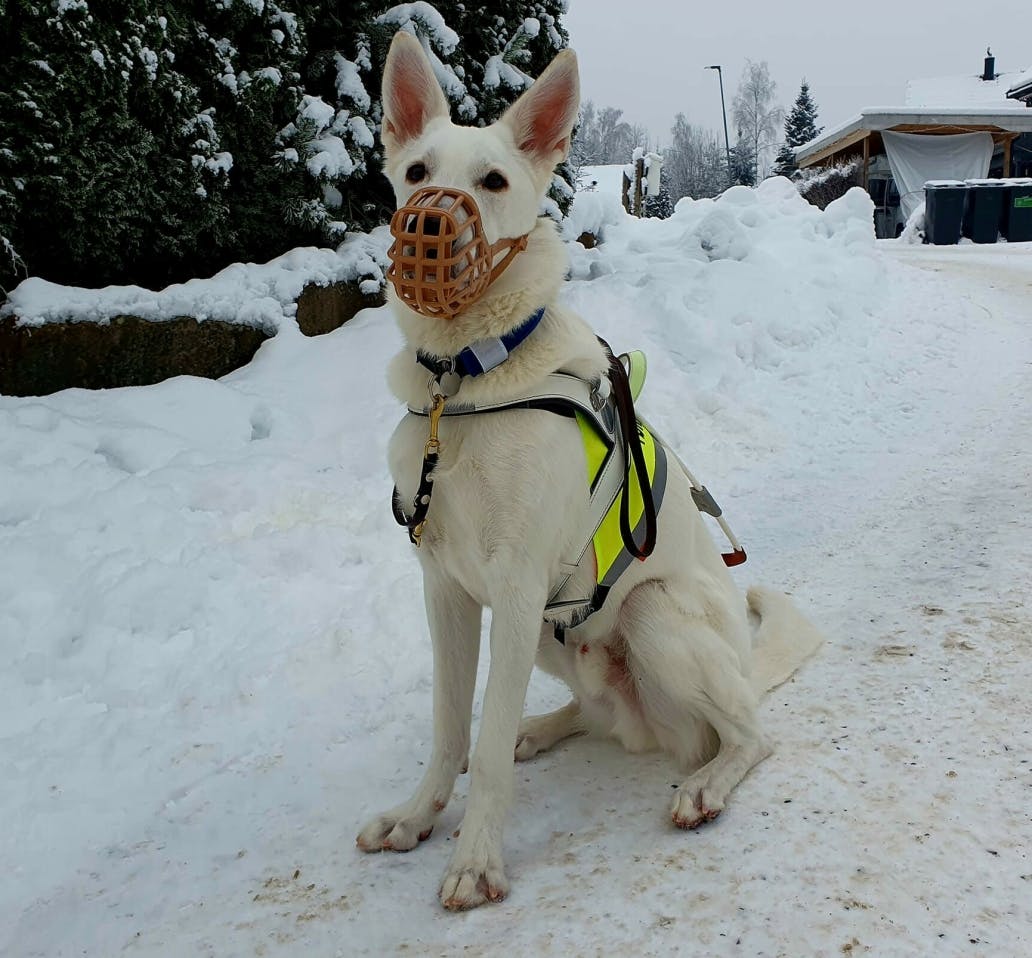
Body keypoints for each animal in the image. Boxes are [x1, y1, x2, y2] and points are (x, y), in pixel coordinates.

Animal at [357, 31, 821, 912]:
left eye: (493, 181)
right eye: (417, 170)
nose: (427, 219)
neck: (464, 383)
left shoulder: (512, 588)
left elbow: (484, 747)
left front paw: (476, 860)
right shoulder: (447, 591)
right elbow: (451, 726)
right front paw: (417, 815)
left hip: (648, 616)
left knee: (753, 734)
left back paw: (706, 783)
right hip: (554, 630)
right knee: (586, 711)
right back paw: (545, 727)